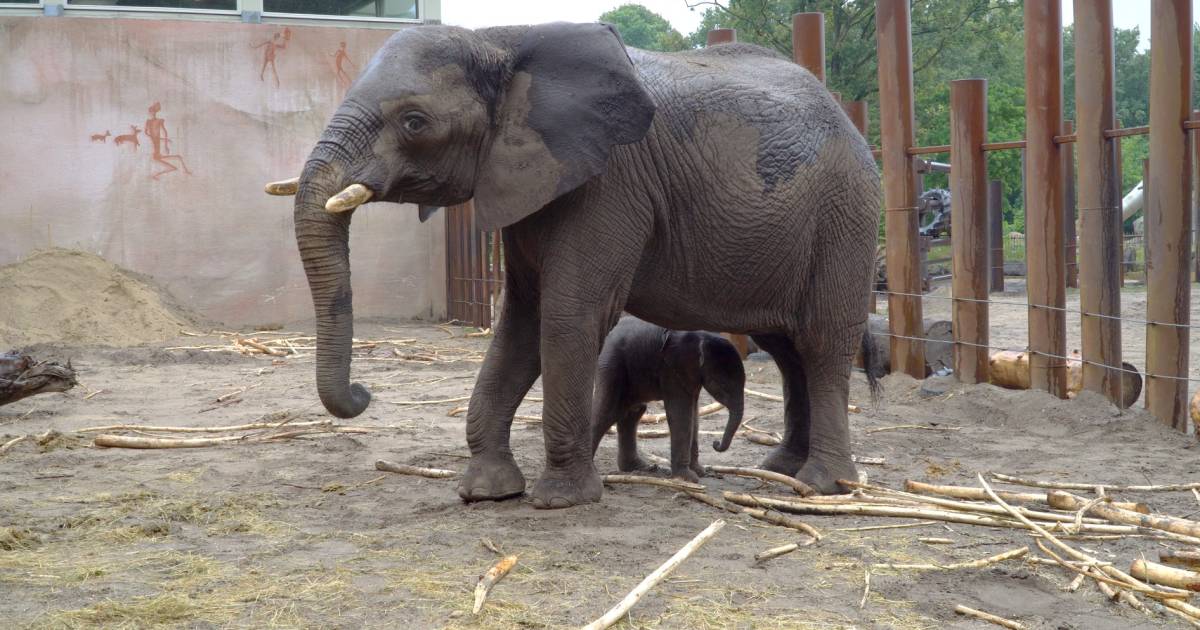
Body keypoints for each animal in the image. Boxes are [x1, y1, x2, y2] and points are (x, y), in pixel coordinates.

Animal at [588, 314, 744, 482]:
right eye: (721, 384)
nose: (716, 443)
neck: (703, 335)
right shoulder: (671, 369)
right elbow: (681, 413)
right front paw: (688, 478)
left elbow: (693, 414)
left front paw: (700, 472)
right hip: (612, 364)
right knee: (608, 412)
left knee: (633, 412)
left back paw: (639, 468)